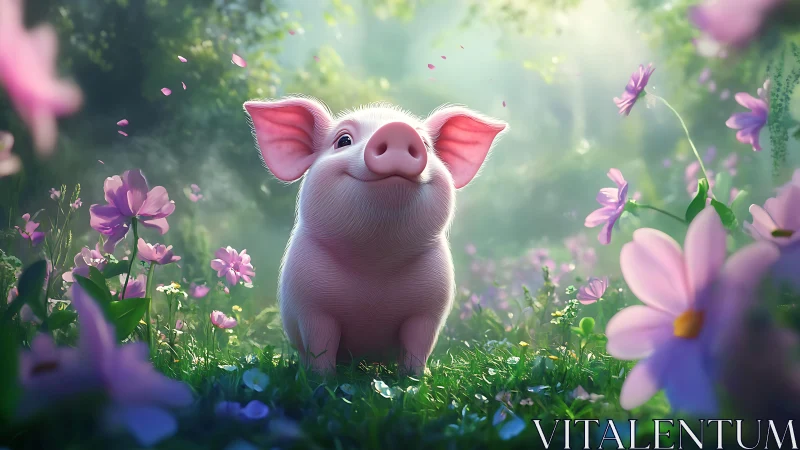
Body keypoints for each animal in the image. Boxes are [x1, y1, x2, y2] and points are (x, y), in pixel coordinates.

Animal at [243, 96, 508, 375]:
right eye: (343, 140)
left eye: (425, 143)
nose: (398, 130)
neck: (375, 263)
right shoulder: (311, 306)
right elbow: (320, 346)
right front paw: (322, 379)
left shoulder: (429, 309)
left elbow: (418, 345)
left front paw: (416, 378)